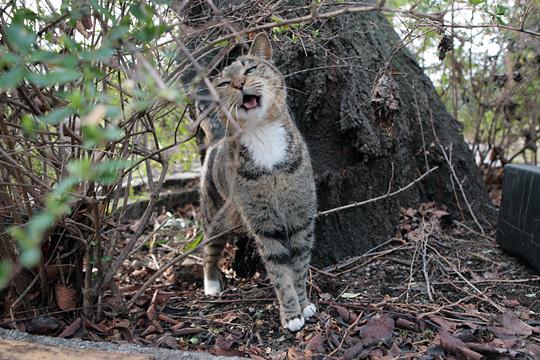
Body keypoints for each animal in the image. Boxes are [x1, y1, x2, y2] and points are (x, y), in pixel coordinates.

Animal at [198, 33, 316, 332]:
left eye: (250, 69)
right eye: (224, 83)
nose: (239, 84)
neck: (263, 135)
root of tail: (215, 141)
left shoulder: (301, 215)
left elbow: (299, 265)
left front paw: (304, 303)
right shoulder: (264, 225)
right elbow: (279, 270)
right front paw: (291, 314)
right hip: (213, 213)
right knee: (209, 249)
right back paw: (211, 284)